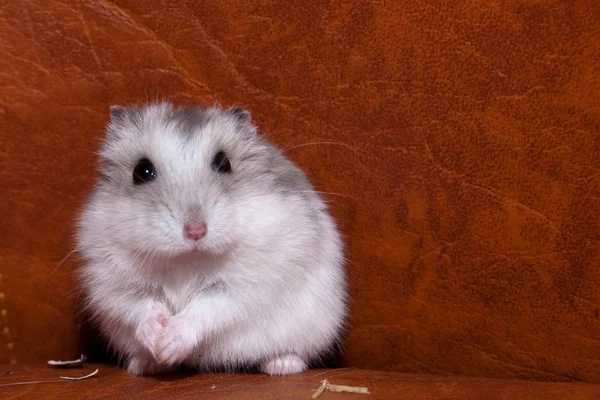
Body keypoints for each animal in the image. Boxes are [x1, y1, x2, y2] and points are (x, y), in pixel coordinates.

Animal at [76, 102, 346, 376]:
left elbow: (208, 307)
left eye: (223, 163)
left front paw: (168, 344)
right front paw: (158, 343)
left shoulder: (246, 284)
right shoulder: (114, 283)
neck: (187, 259)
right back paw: (146, 364)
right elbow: (141, 306)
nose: (196, 231)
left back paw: (282, 364)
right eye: (141, 171)